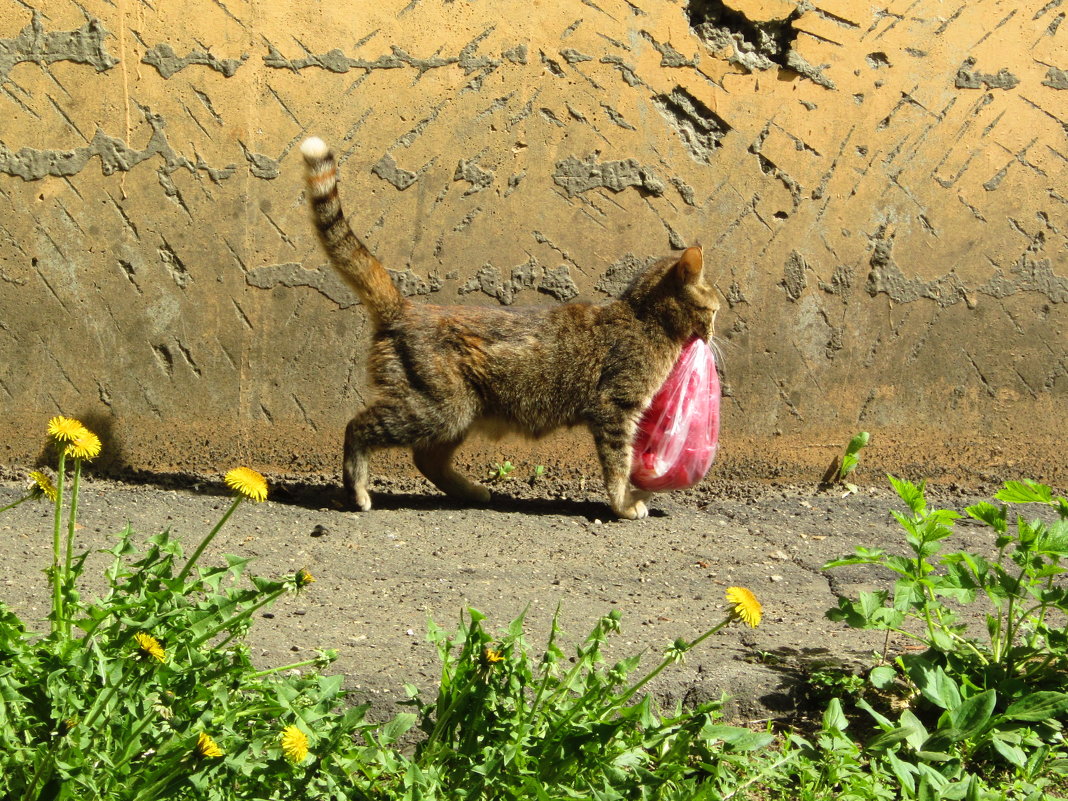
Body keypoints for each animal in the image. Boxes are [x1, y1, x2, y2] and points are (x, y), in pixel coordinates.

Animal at [299, 137, 717, 521]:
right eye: (714, 310)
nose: (714, 334)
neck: (644, 319)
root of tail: (405, 307)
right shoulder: (614, 410)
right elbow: (618, 465)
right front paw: (624, 504)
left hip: (458, 415)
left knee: (427, 458)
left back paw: (470, 492)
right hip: (436, 408)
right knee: (358, 427)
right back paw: (358, 492)